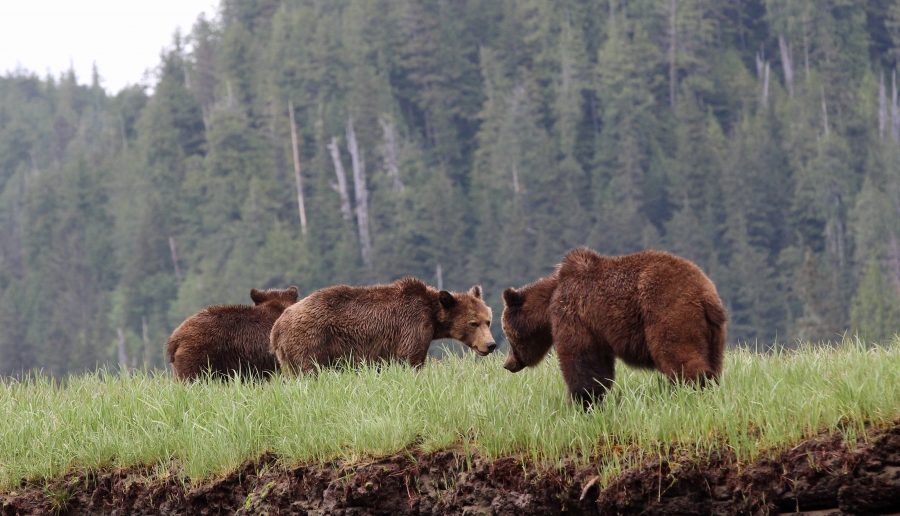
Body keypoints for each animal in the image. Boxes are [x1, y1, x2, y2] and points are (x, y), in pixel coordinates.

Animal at [272, 276, 500, 372]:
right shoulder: (412, 326)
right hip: (311, 340)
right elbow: (410, 358)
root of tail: (278, 325)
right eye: (473, 323)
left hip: (286, 356)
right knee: (311, 370)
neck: (433, 318)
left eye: (488, 321)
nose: (490, 345)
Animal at [502, 248, 728, 410]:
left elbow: (580, 359)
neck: (549, 302)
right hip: (714, 332)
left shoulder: (574, 315)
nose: (508, 364)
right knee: (714, 362)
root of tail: (705, 294)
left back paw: (692, 392)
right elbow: (600, 365)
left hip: (668, 312)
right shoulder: (598, 331)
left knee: (678, 354)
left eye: (508, 335)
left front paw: (583, 401)